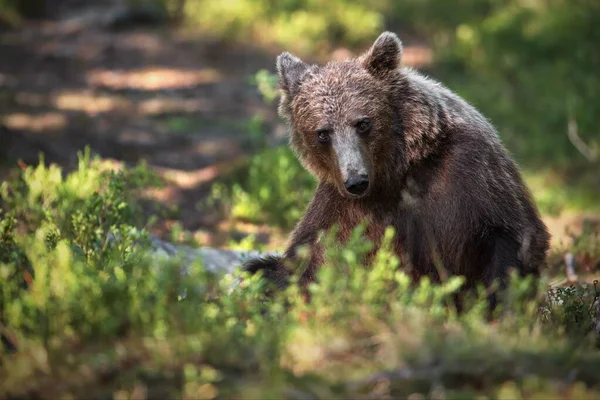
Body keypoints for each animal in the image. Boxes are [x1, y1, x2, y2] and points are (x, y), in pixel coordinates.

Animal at [243, 31, 548, 306]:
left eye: (362, 122)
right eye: (322, 133)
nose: (356, 181)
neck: (398, 170)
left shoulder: (470, 173)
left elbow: (510, 235)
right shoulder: (340, 206)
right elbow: (305, 260)